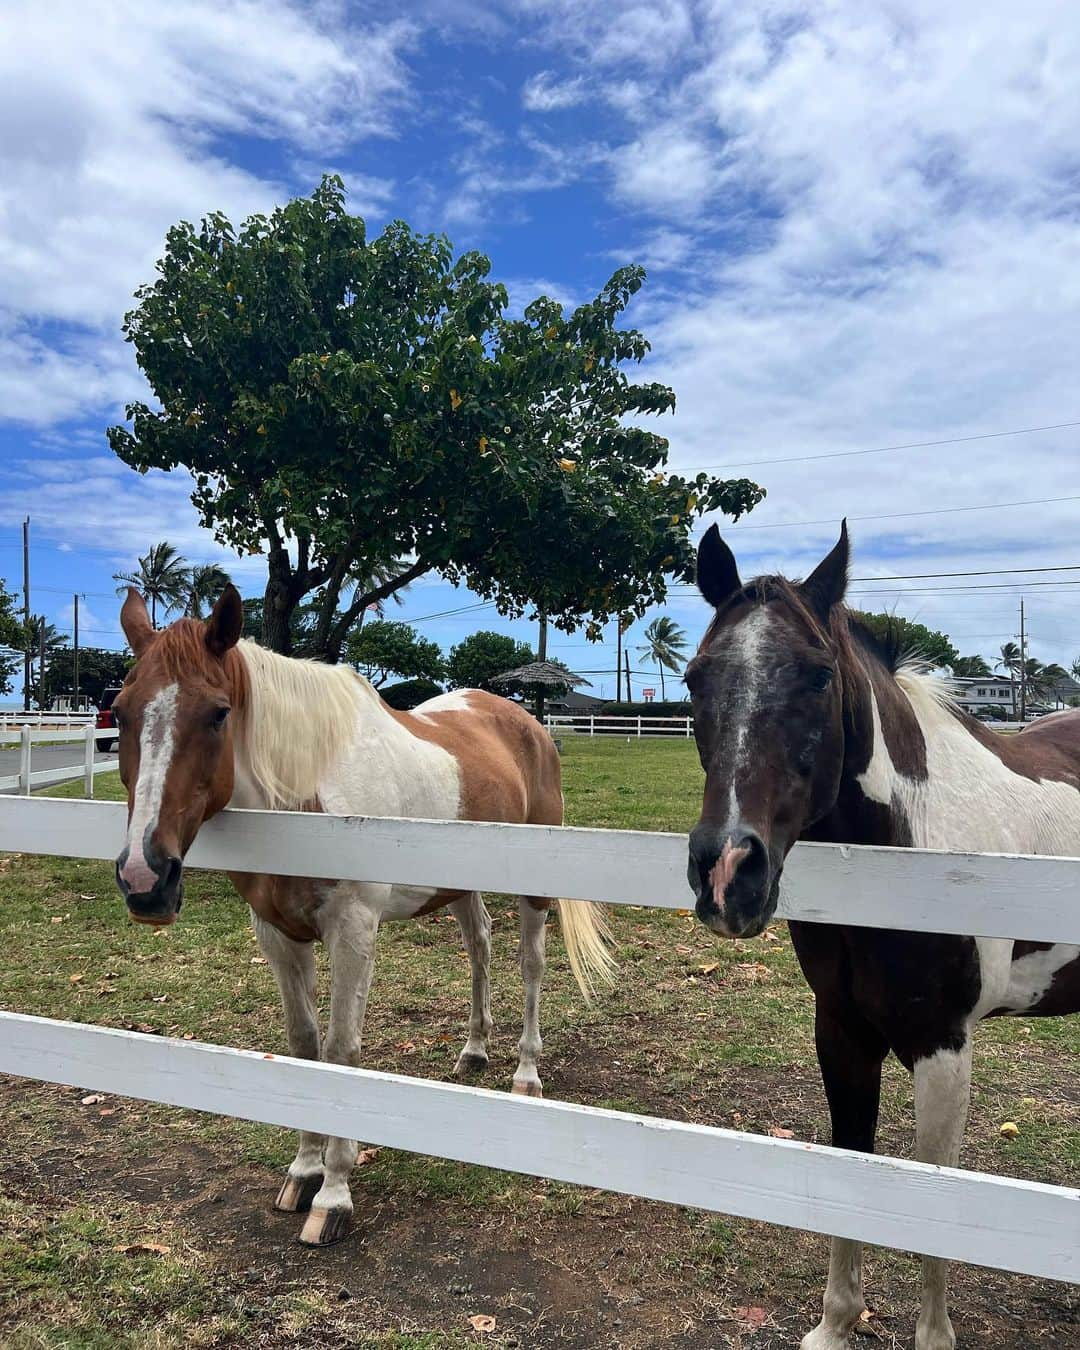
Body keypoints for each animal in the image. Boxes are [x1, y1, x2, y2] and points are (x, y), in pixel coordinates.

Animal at [114, 588, 615, 1242]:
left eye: (219, 713)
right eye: (119, 712)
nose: (144, 879)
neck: (305, 799)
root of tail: (525, 721)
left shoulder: (352, 931)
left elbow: (341, 1050)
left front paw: (333, 1193)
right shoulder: (278, 935)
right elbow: (304, 1045)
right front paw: (302, 1171)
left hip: (533, 887)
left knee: (530, 964)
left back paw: (526, 1073)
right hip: (461, 883)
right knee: (479, 947)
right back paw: (474, 1049)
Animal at [688, 523, 1074, 1350]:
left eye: (817, 677)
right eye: (696, 678)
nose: (728, 874)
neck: (908, 851)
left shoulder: (942, 1049)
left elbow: (931, 1208)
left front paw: (933, 1336)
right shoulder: (842, 1034)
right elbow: (851, 1167)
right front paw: (834, 1325)